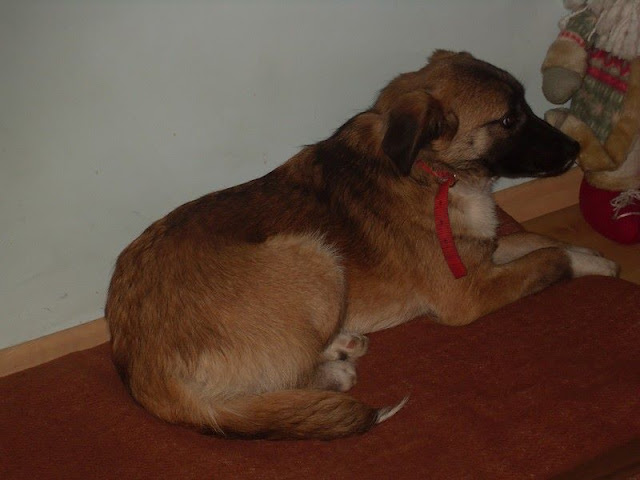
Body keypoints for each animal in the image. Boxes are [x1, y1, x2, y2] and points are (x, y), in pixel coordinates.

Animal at [105, 50, 619, 441]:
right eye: (509, 119)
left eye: (527, 105)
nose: (576, 150)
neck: (435, 173)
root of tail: (141, 365)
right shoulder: (468, 295)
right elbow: (547, 259)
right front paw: (587, 262)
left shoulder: (482, 256)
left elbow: (533, 238)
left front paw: (589, 253)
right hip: (314, 255)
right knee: (285, 379)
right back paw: (335, 370)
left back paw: (341, 343)